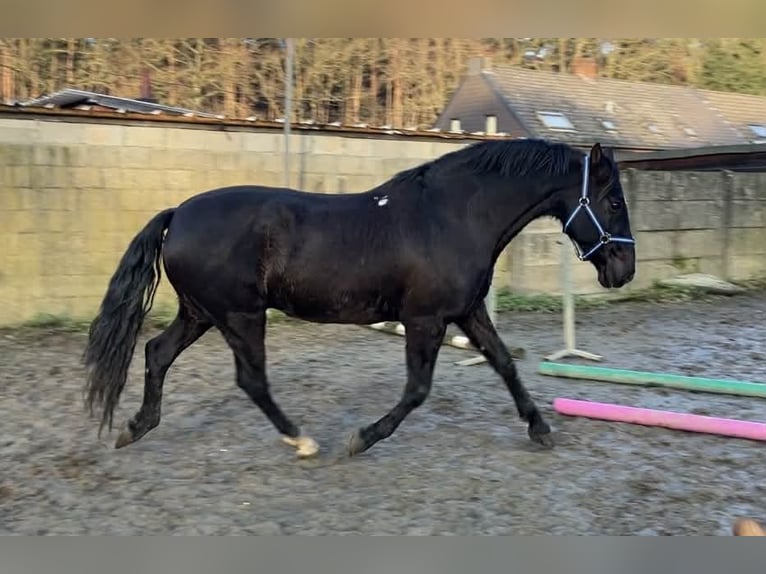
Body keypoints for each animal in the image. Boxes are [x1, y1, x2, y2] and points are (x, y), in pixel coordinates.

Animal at [82, 138, 636, 459]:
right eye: (612, 200)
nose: (624, 269)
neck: (451, 216)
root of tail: (177, 213)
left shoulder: (467, 311)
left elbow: (504, 363)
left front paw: (540, 428)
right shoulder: (425, 319)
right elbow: (417, 390)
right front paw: (361, 439)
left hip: (201, 313)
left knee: (157, 353)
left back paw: (135, 428)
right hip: (239, 315)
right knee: (250, 379)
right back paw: (302, 440)